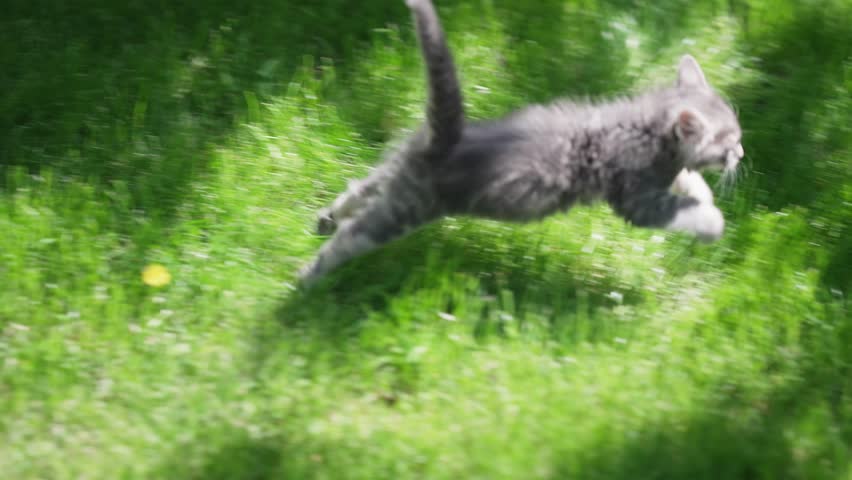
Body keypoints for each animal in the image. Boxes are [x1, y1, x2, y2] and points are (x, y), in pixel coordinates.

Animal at [296, 0, 744, 284]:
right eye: (729, 141)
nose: (740, 154)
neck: (646, 126)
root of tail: (449, 138)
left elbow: (689, 181)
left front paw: (701, 192)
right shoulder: (637, 197)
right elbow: (686, 212)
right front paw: (712, 222)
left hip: (399, 168)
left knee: (361, 188)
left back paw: (326, 218)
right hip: (408, 206)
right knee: (355, 235)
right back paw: (308, 277)